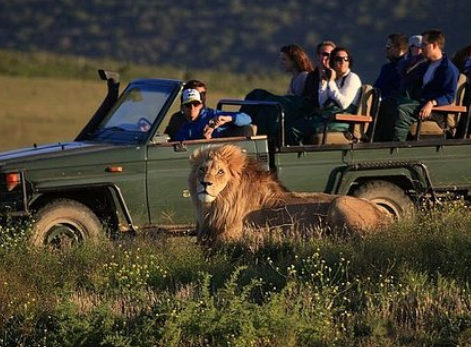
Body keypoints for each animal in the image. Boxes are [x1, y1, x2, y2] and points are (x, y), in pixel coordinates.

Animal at [187, 144, 388, 245]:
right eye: (202, 169)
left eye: (220, 172)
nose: (205, 183)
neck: (217, 204)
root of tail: (384, 215)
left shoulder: (232, 234)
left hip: (340, 203)